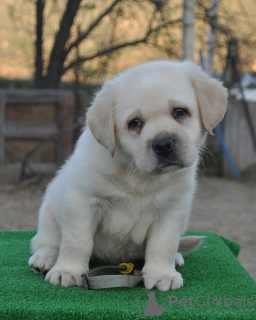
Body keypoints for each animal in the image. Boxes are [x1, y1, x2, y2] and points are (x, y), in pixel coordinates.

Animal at [29, 61, 227, 292]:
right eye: (135, 123)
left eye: (180, 112)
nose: (163, 144)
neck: (138, 175)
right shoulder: (81, 202)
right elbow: (76, 241)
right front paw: (68, 271)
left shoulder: (172, 209)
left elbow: (164, 244)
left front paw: (162, 274)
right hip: (49, 207)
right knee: (47, 240)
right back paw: (45, 257)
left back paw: (176, 257)